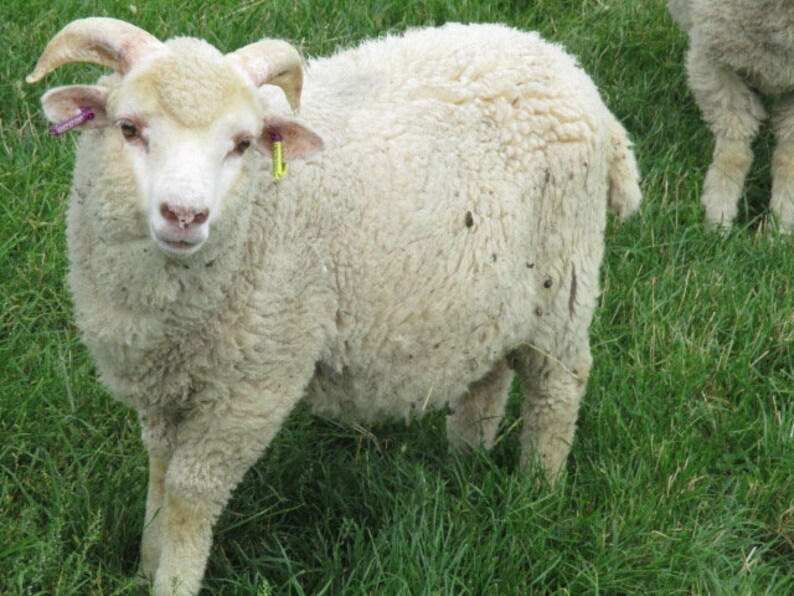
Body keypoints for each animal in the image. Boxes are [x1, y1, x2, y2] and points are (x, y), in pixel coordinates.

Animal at [28, 17, 641, 594]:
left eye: (242, 144)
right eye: (129, 128)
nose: (185, 215)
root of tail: (564, 64)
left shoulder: (254, 385)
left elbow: (189, 492)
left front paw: (174, 580)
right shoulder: (161, 380)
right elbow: (159, 469)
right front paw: (144, 566)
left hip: (562, 283)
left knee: (558, 387)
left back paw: (539, 492)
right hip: (488, 296)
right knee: (488, 378)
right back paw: (465, 464)